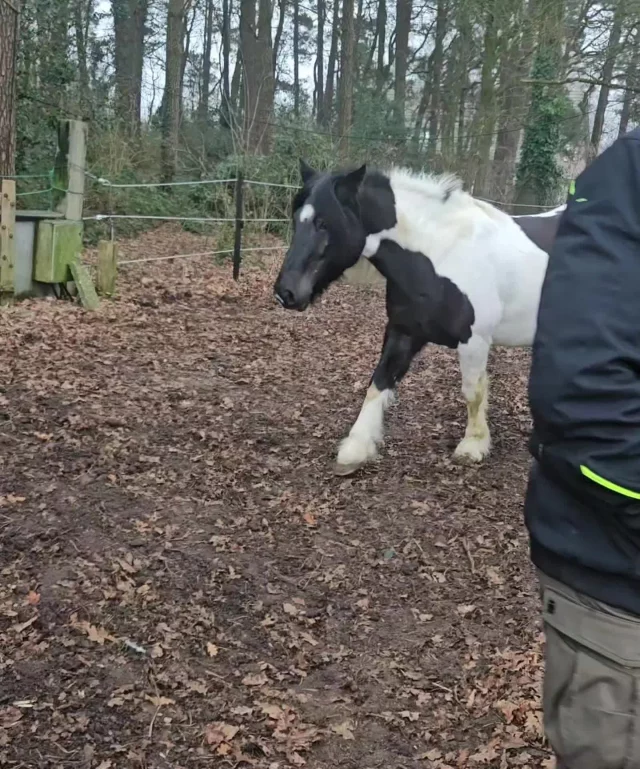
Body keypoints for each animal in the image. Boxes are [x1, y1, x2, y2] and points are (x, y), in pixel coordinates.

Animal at [274, 160, 563, 475]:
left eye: (324, 223)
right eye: (296, 220)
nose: (285, 292)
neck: (441, 253)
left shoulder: (474, 341)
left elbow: (472, 392)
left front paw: (473, 445)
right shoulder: (403, 332)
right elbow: (378, 383)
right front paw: (357, 447)